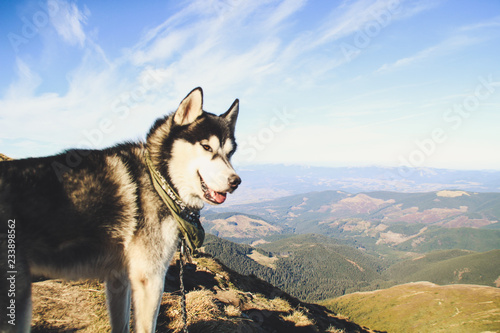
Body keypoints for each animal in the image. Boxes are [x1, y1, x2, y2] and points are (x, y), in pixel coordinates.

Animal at [0, 87, 242, 330]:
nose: (236, 182)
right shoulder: (150, 279)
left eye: (230, 153)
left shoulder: (118, 278)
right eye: (206, 147)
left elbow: (122, 323)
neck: (160, 180)